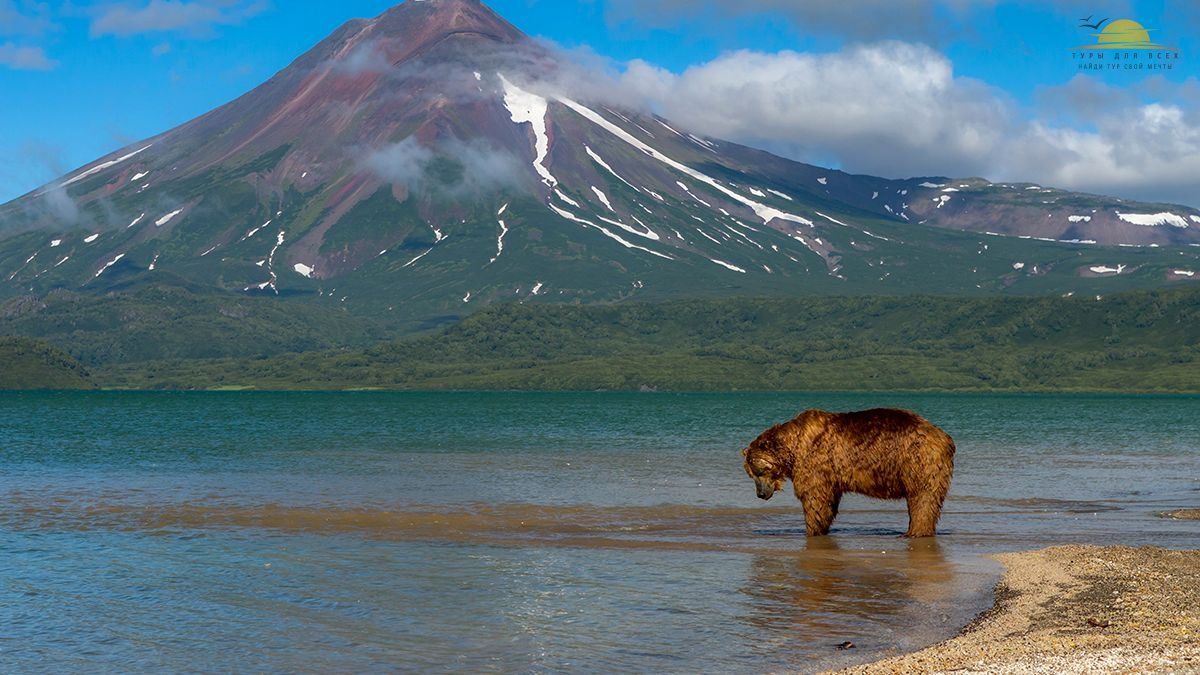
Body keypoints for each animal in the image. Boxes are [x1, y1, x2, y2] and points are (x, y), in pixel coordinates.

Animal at [739, 408, 955, 533]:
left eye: (758, 472)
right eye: (751, 474)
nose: (760, 494)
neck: (793, 447)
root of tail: (944, 438)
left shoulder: (814, 461)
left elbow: (815, 500)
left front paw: (812, 529)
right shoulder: (831, 475)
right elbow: (829, 503)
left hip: (918, 460)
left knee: (923, 501)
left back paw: (915, 532)